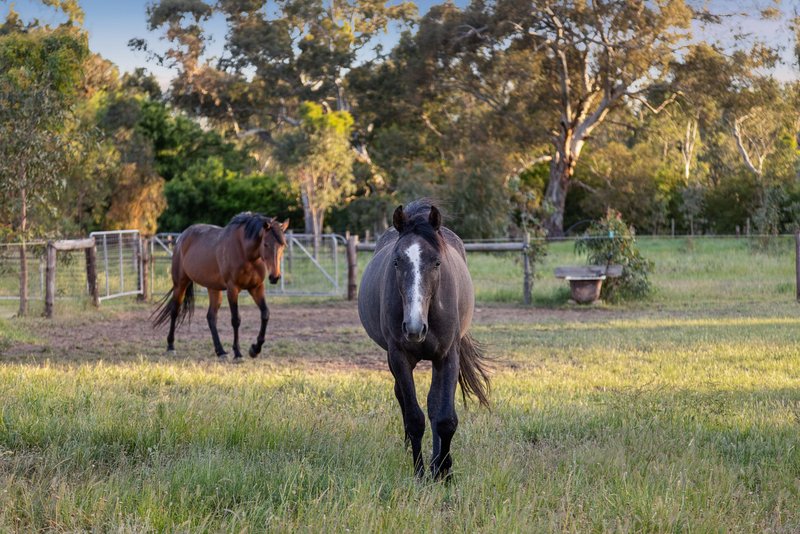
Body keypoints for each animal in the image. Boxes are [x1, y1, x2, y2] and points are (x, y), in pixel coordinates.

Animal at [152, 211, 290, 362]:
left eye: (283, 245)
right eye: (265, 244)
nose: (275, 277)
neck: (245, 253)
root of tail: (182, 237)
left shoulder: (256, 288)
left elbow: (265, 314)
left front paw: (255, 349)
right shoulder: (232, 289)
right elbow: (236, 320)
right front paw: (238, 354)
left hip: (214, 289)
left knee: (211, 317)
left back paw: (221, 351)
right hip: (180, 284)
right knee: (175, 311)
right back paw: (171, 347)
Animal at [360, 200, 490, 482]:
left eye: (437, 262)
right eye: (397, 261)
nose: (414, 327)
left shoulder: (447, 356)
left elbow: (444, 418)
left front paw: (443, 469)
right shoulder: (398, 356)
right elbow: (414, 418)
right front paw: (420, 472)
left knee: (433, 405)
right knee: (403, 397)